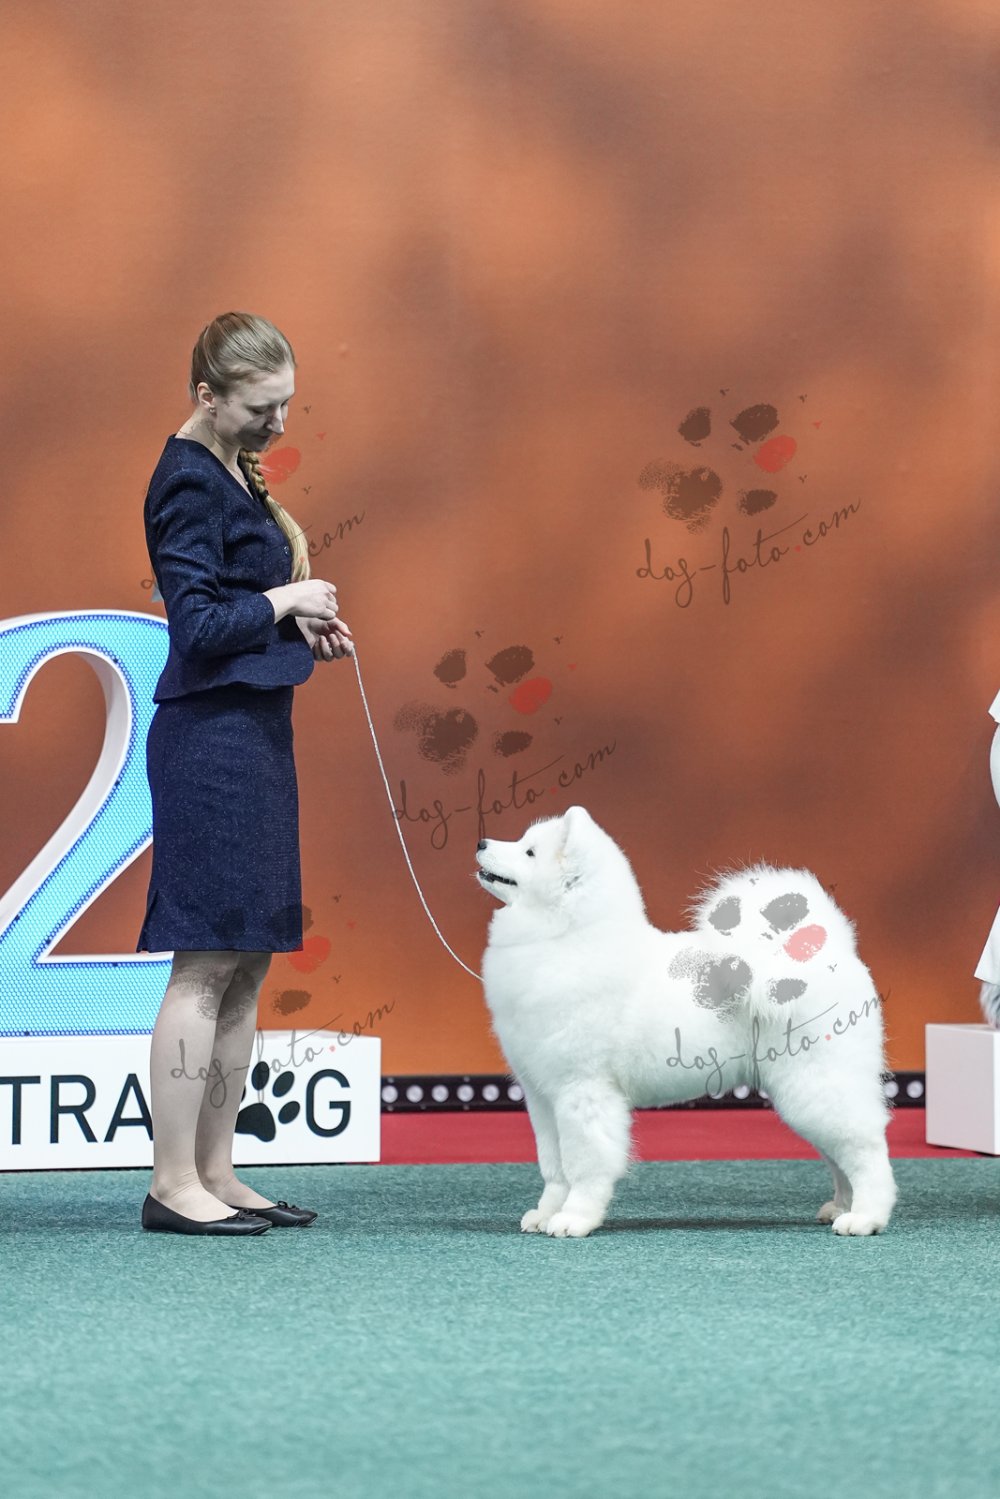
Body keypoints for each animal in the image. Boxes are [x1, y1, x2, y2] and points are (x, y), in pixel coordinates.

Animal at [476, 806, 897, 1238]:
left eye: (529, 852)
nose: (481, 842)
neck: (566, 939)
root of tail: (836, 954)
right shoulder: (542, 1095)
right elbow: (554, 1167)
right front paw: (546, 1213)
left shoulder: (583, 1090)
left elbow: (584, 1164)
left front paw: (575, 1218)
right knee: (839, 1155)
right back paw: (840, 1206)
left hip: (818, 1084)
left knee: (865, 1148)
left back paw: (865, 1217)